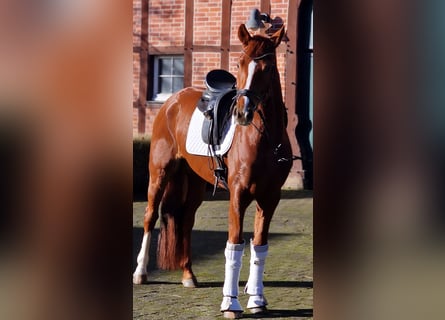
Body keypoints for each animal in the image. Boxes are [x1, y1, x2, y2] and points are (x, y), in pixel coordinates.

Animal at [132, 25, 292, 318]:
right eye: (240, 63)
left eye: (268, 67)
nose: (242, 113)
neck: (263, 139)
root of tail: (172, 101)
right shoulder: (238, 195)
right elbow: (234, 245)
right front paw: (231, 303)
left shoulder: (269, 198)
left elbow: (260, 246)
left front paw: (257, 299)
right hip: (159, 174)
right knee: (149, 217)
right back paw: (140, 273)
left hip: (195, 184)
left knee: (185, 221)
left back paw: (188, 275)